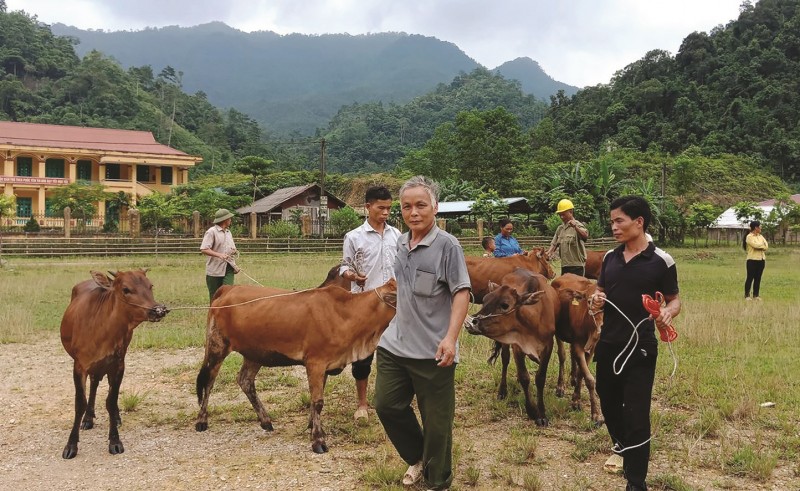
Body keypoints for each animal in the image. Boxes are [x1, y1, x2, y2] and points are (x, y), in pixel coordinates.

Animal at [61, 270, 170, 460]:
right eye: (126, 289)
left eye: (150, 285)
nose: (158, 310)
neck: (102, 331)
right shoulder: (79, 365)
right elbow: (79, 403)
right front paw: (71, 445)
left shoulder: (118, 365)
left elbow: (111, 401)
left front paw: (115, 441)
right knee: (94, 384)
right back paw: (87, 419)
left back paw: (112, 418)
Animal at [196, 280, 396, 454]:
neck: (346, 314)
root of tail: (228, 288)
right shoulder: (315, 362)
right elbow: (318, 402)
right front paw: (318, 440)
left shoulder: (324, 366)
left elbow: (316, 399)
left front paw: (314, 427)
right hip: (217, 346)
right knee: (209, 382)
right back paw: (201, 421)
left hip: (255, 354)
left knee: (245, 380)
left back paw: (266, 421)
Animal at [466, 270, 560, 426]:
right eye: (485, 300)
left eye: (505, 305)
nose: (471, 323)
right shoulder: (517, 346)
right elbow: (524, 377)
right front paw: (532, 411)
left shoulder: (548, 346)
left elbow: (540, 378)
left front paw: (542, 414)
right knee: (505, 360)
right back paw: (502, 391)